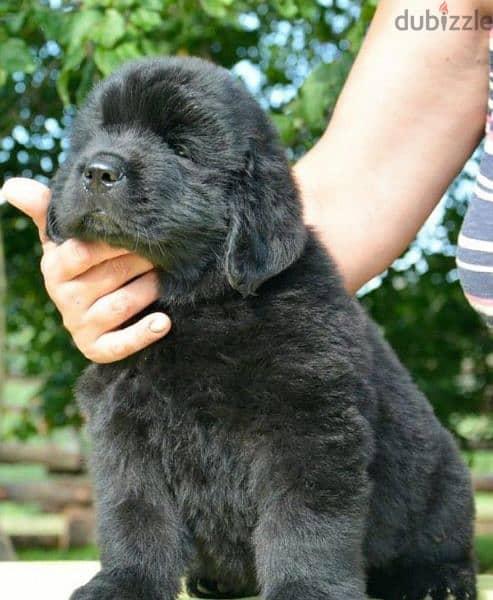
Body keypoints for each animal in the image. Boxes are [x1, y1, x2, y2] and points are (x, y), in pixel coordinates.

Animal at [48, 57, 474, 600]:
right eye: (98, 133)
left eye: (180, 148)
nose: (98, 169)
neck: (197, 303)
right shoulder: (123, 424)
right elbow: (134, 513)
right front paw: (124, 584)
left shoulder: (310, 420)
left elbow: (304, 521)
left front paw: (307, 589)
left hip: (442, 487)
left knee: (443, 545)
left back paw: (440, 581)